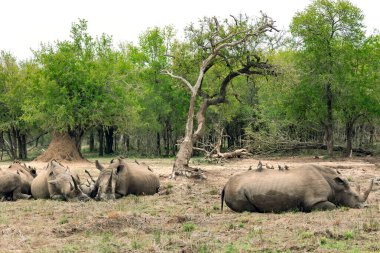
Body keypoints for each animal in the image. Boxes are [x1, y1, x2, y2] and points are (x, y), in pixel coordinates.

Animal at [221, 165, 372, 212]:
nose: (364, 206)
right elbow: (333, 206)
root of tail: (225, 185)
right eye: (355, 196)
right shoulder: (314, 201)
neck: (335, 185)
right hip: (236, 190)